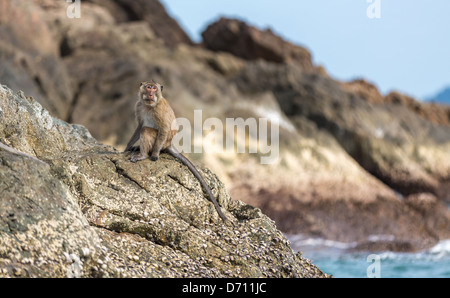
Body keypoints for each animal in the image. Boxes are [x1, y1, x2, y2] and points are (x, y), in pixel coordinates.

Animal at [124, 80, 227, 222]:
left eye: (154, 88)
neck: (149, 105)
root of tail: (169, 144)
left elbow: (164, 128)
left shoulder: (159, 111)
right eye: (148, 87)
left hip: (161, 142)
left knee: (147, 130)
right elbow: (139, 125)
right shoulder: (139, 106)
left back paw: (143, 155)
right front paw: (128, 146)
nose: (150, 93)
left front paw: (154, 155)